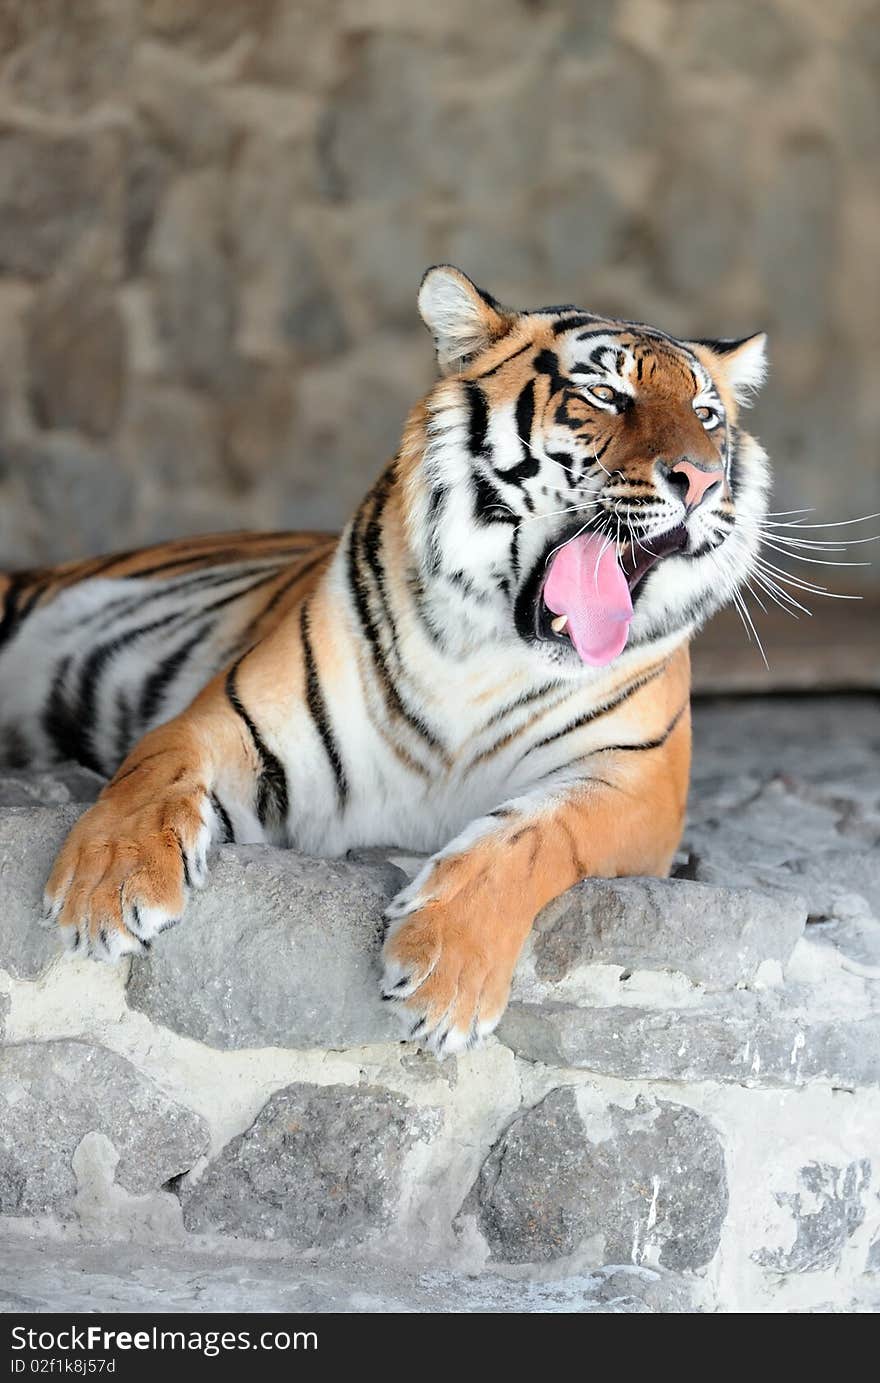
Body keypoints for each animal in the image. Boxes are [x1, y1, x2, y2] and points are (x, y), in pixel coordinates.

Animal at [0, 264, 769, 1051]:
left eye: (707, 416)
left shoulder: (636, 783)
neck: (487, 650)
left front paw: (446, 972)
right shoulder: (236, 715)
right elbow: (154, 768)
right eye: (607, 394)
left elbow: (536, 835)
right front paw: (107, 885)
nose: (702, 480)